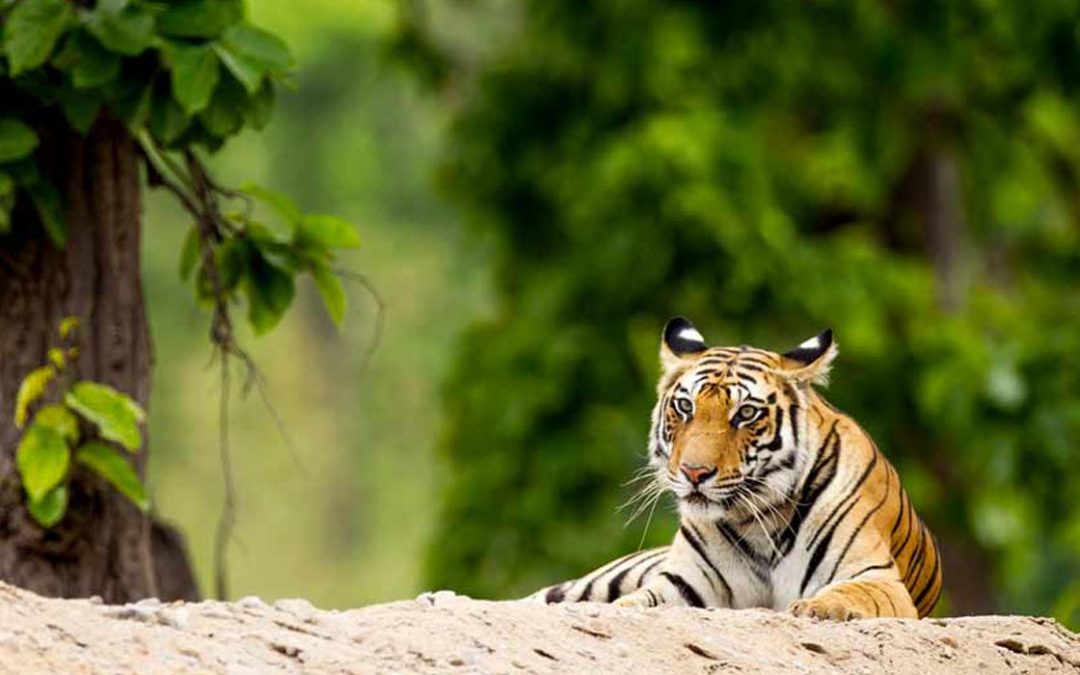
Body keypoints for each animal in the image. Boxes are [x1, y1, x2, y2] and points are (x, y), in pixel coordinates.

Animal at [530, 317, 942, 620]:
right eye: (685, 407)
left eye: (745, 413)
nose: (694, 473)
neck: (762, 525)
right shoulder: (683, 585)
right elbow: (638, 602)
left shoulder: (876, 579)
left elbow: (849, 595)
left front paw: (818, 608)